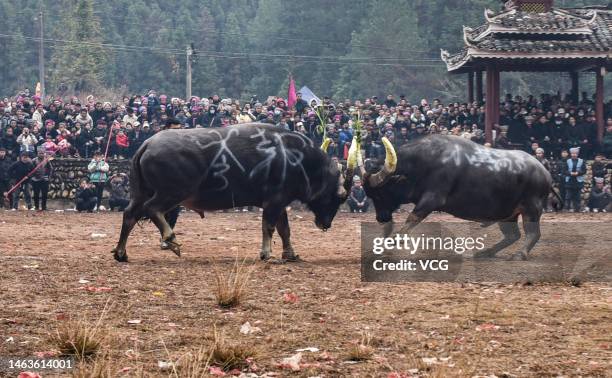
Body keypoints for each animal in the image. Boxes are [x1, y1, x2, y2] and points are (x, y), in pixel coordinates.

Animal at [112, 124, 356, 262]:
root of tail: (147, 144)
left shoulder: (280, 203)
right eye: (340, 197)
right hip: (172, 193)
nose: (326, 224)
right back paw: (170, 239)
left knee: (130, 215)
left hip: (141, 193)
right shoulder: (273, 202)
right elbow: (269, 228)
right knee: (152, 210)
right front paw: (266, 253)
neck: (296, 158)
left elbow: (284, 230)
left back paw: (121, 253)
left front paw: (290, 254)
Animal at [360, 135, 560, 260]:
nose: (381, 218)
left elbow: (412, 218)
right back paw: (485, 252)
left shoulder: (432, 199)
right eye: (369, 194)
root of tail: (544, 172)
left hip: (531, 208)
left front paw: (393, 241)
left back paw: (519, 254)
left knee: (533, 233)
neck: (423, 162)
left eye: (380, 192)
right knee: (513, 235)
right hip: (507, 213)